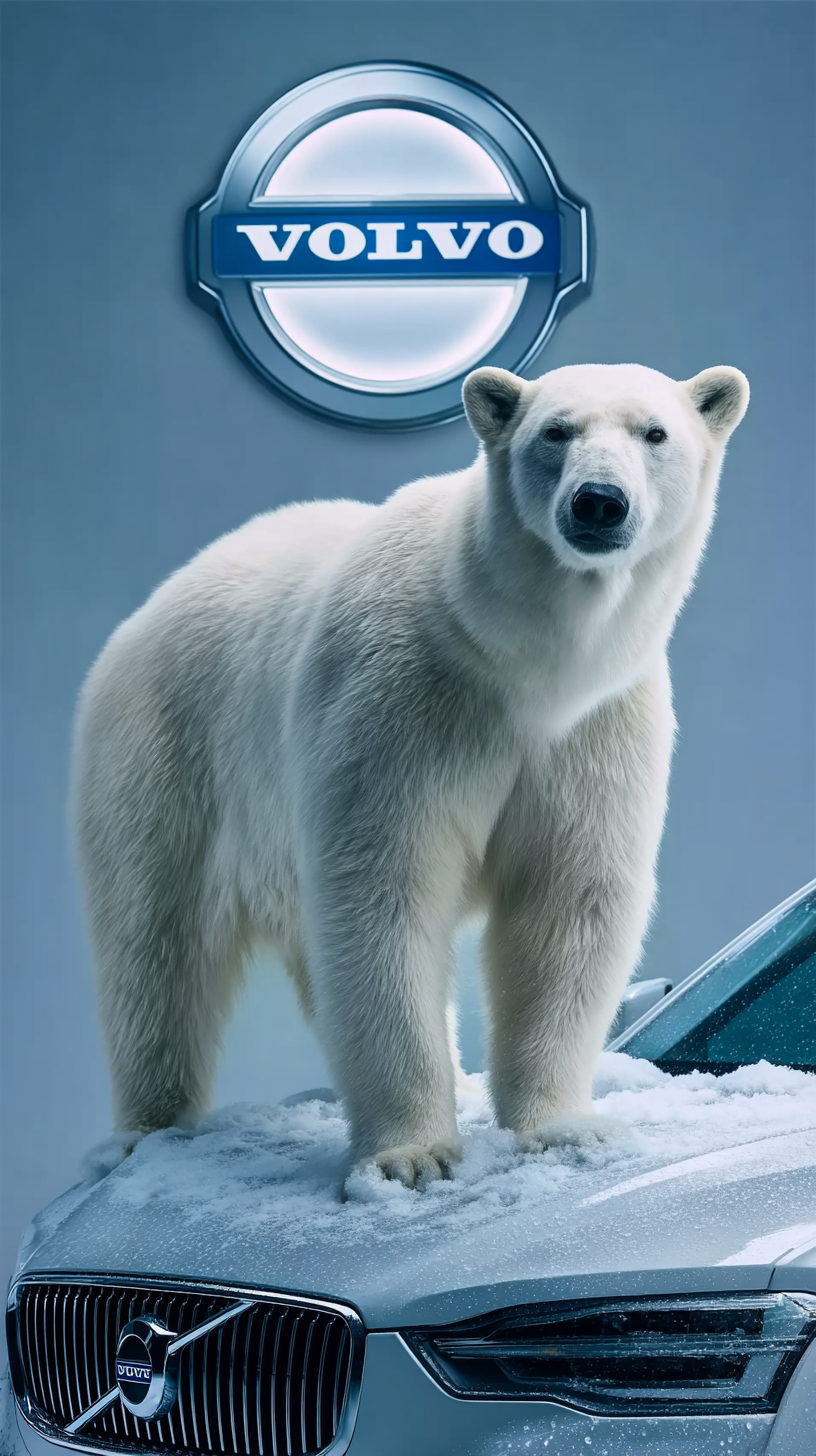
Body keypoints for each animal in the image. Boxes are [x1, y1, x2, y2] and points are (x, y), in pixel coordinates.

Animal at [72, 361, 749, 1188]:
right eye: (554, 432)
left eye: (654, 433)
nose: (598, 501)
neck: (516, 654)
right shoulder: (398, 700)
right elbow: (384, 890)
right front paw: (412, 1155)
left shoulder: (596, 727)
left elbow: (568, 898)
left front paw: (564, 1126)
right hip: (167, 748)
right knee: (154, 941)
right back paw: (145, 1130)